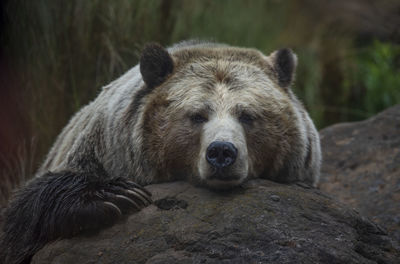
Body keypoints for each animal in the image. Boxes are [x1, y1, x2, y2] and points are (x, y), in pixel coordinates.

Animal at [0, 40, 318, 262]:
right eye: (197, 115)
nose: (221, 152)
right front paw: (116, 196)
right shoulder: (102, 151)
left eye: (247, 115)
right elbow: (20, 220)